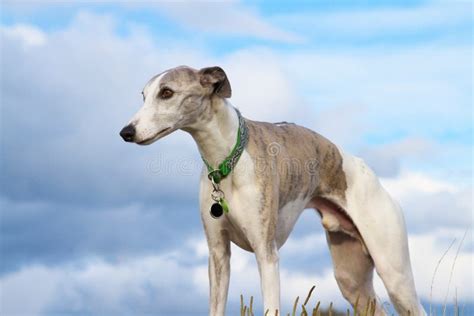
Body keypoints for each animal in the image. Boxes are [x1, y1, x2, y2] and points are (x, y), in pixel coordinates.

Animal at [120, 65, 428, 314]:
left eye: (167, 92)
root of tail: (369, 173)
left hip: (394, 272)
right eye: (143, 95)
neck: (228, 160)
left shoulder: (266, 253)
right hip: (351, 279)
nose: (126, 132)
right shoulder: (218, 254)